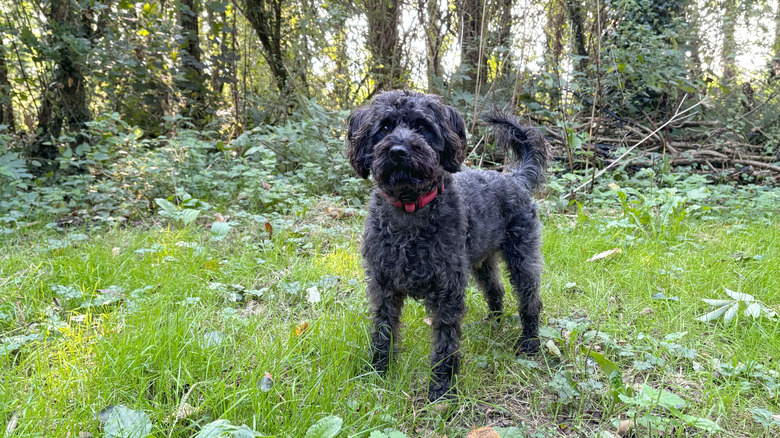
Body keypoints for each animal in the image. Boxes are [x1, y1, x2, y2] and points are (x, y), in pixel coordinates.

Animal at [348, 90, 548, 402]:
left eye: (422, 127)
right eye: (384, 127)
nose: (398, 151)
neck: (410, 209)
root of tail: (514, 178)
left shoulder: (447, 290)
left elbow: (445, 342)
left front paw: (442, 390)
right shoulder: (383, 286)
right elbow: (383, 330)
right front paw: (378, 372)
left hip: (522, 257)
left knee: (530, 300)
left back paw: (529, 343)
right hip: (481, 261)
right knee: (495, 289)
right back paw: (493, 324)